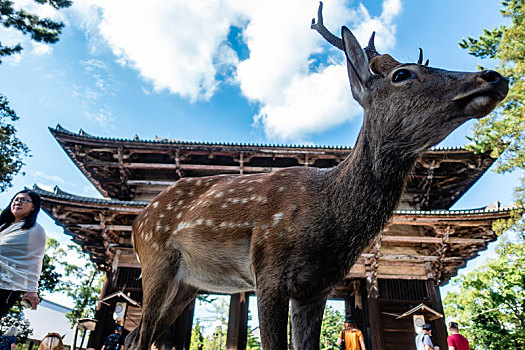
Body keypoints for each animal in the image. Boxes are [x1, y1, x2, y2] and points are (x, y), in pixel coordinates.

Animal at [125, 5, 506, 350]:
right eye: (402, 75)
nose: (492, 77)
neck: (331, 221)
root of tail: (137, 221)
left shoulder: (317, 287)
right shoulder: (269, 267)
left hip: (188, 283)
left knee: (134, 337)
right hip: (156, 258)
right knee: (140, 338)